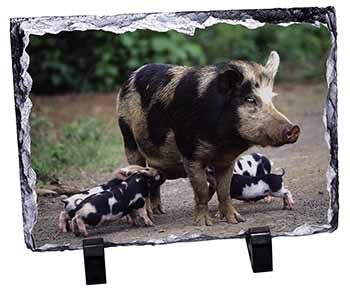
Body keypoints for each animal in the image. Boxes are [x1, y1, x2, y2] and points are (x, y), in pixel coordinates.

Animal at [116, 50, 300, 225]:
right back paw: (148, 218)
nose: (294, 128)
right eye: (250, 99)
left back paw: (159, 212)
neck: (224, 142)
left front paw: (236, 220)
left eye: (272, 99)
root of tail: (132, 75)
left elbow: (224, 190)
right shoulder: (190, 153)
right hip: (128, 137)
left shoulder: (227, 159)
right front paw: (204, 224)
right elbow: (202, 190)